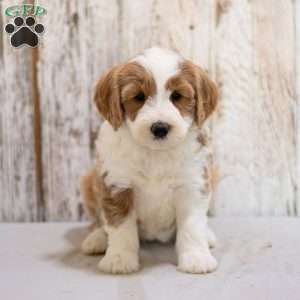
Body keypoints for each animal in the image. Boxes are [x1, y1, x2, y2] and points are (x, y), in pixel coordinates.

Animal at [81, 47, 219, 274]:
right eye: (139, 96)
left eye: (177, 96)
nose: (160, 128)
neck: (156, 153)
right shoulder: (117, 185)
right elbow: (120, 226)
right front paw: (119, 259)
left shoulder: (192, 184)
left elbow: (192, 226)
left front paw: (196, 258)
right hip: (88, 181)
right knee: (100, 221)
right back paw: (97, 238)